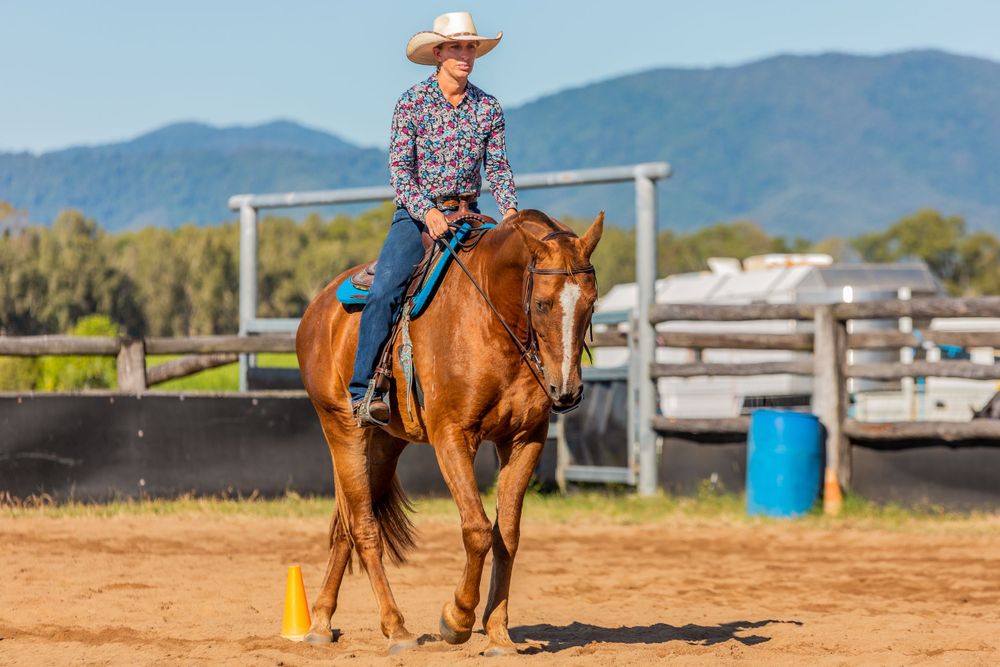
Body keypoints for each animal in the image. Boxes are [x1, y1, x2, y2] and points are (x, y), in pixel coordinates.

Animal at [295, 208, 604, 655]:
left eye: (591, 303)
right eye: (542, 303)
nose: (567, 391)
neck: (490, 317)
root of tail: (318, 309)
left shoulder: (525, 439)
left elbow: (506, 533)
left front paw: (498, 634)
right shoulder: (453, 437)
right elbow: (476, 530)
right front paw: (456, 619)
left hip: (384, 443)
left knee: (348, 527)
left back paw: (320, 621)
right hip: (341, 427)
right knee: (365, 529)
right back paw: (396, 629)